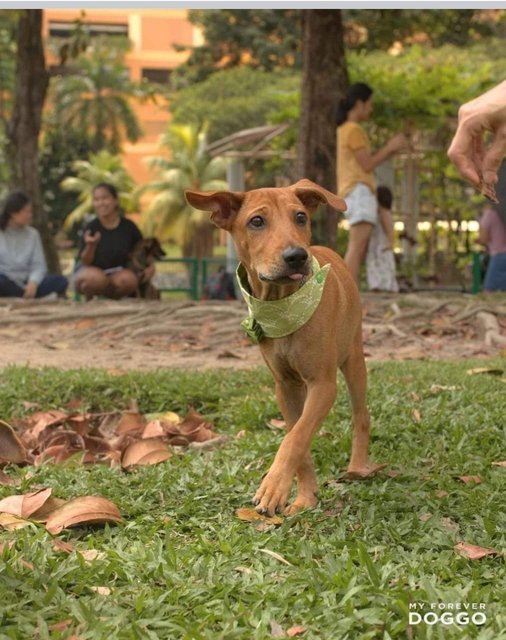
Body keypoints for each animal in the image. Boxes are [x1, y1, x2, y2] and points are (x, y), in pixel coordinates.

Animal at [187, 179, 384, 516]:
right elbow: (297, 437)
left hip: (354, 359)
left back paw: (358, 466)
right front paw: (305, 497)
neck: (283, 304)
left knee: (361, 416)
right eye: (256, 221)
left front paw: (273, 487)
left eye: (300, 217)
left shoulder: (323, 384)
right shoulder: (286, 387)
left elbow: (295, 439)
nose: (296, 256)